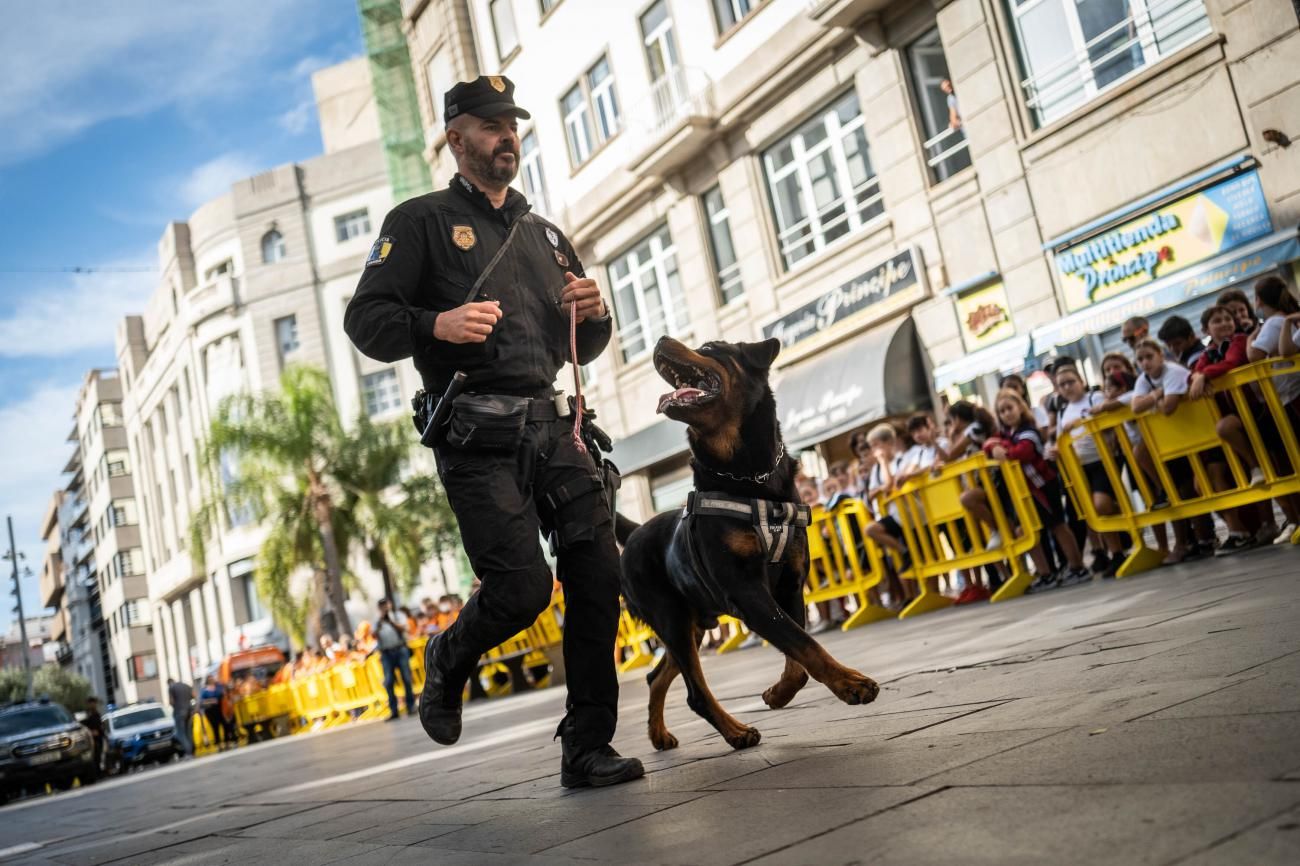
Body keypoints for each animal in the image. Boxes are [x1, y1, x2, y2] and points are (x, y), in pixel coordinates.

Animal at [613, 331, 878, 748]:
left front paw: (778, 693)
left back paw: (660, 735)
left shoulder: (789, 583)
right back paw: (735, 732)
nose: (660, 338)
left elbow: (798, 656)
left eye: (709, 348)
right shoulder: (747, 591)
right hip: (670, 616)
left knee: (657, 676)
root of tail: (635, 531)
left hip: (690, 622)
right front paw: (851, 683)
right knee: (695, 692)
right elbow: (804, 643)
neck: (748, 477)